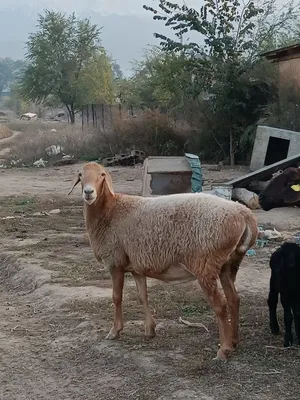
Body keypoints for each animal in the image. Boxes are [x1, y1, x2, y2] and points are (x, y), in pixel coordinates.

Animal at [68, 161, 258, 360]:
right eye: (80, 175)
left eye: (102, 175)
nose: (88, 192)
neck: (109, 211)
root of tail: (244, 214)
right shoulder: (136, 266)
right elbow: (142, 296)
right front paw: (150, 330)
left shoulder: (115, 262)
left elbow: (116, 297)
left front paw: (115, 331)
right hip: (228, 264)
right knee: (234, 299)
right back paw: (234, 341)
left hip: (206, 264)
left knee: (220, 305)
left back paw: (223, 350)